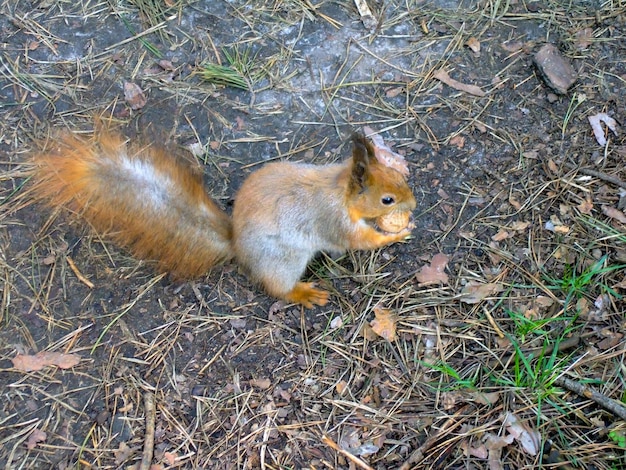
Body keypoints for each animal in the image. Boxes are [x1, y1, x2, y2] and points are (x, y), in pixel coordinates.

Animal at [30, 129, 414, 308]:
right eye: (387, 199)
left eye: (398, 175)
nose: (411, 203)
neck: (339, 190)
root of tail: (237, 245)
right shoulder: (334, 220)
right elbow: (358, 240)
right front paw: (396, 233)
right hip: (283, 260)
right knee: (277, 287)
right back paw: (303, 293)